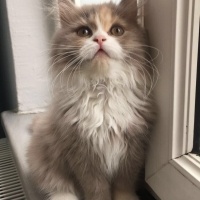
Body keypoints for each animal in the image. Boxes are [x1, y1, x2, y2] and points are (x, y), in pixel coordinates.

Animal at [26, 0, 155, 200]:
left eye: (117, 30)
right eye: (84, 32)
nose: (100, 39)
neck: (102, 91)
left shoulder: (134, 147)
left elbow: (124, 185)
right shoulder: (82, 153)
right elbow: (96, 188)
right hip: (44, 160)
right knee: (57, 186)